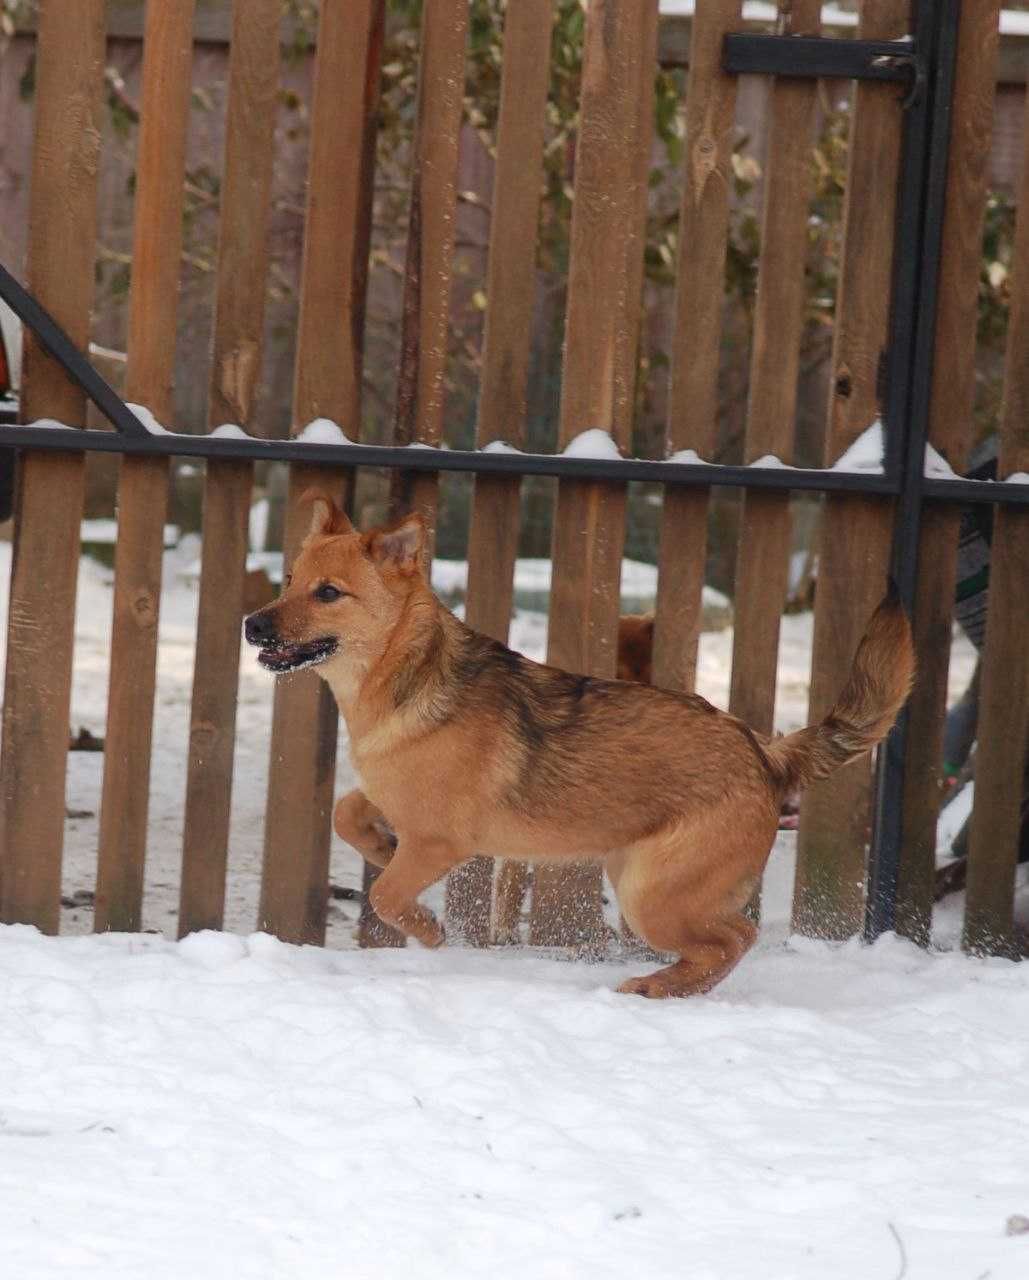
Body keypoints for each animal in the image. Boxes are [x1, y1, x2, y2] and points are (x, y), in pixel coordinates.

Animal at [245, 494, 911, 993]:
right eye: (288, 581)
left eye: (328, 593)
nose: (252, 624)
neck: (403, 679)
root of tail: (765, 752)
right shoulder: (395, 803)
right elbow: (347, 813)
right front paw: (381, 845)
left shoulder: (441, 841)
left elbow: (386, 896)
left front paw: (429, 929)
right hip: (638, 878)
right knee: (727, 939)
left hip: (652, 896)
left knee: (734, 940)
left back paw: (658, 987)